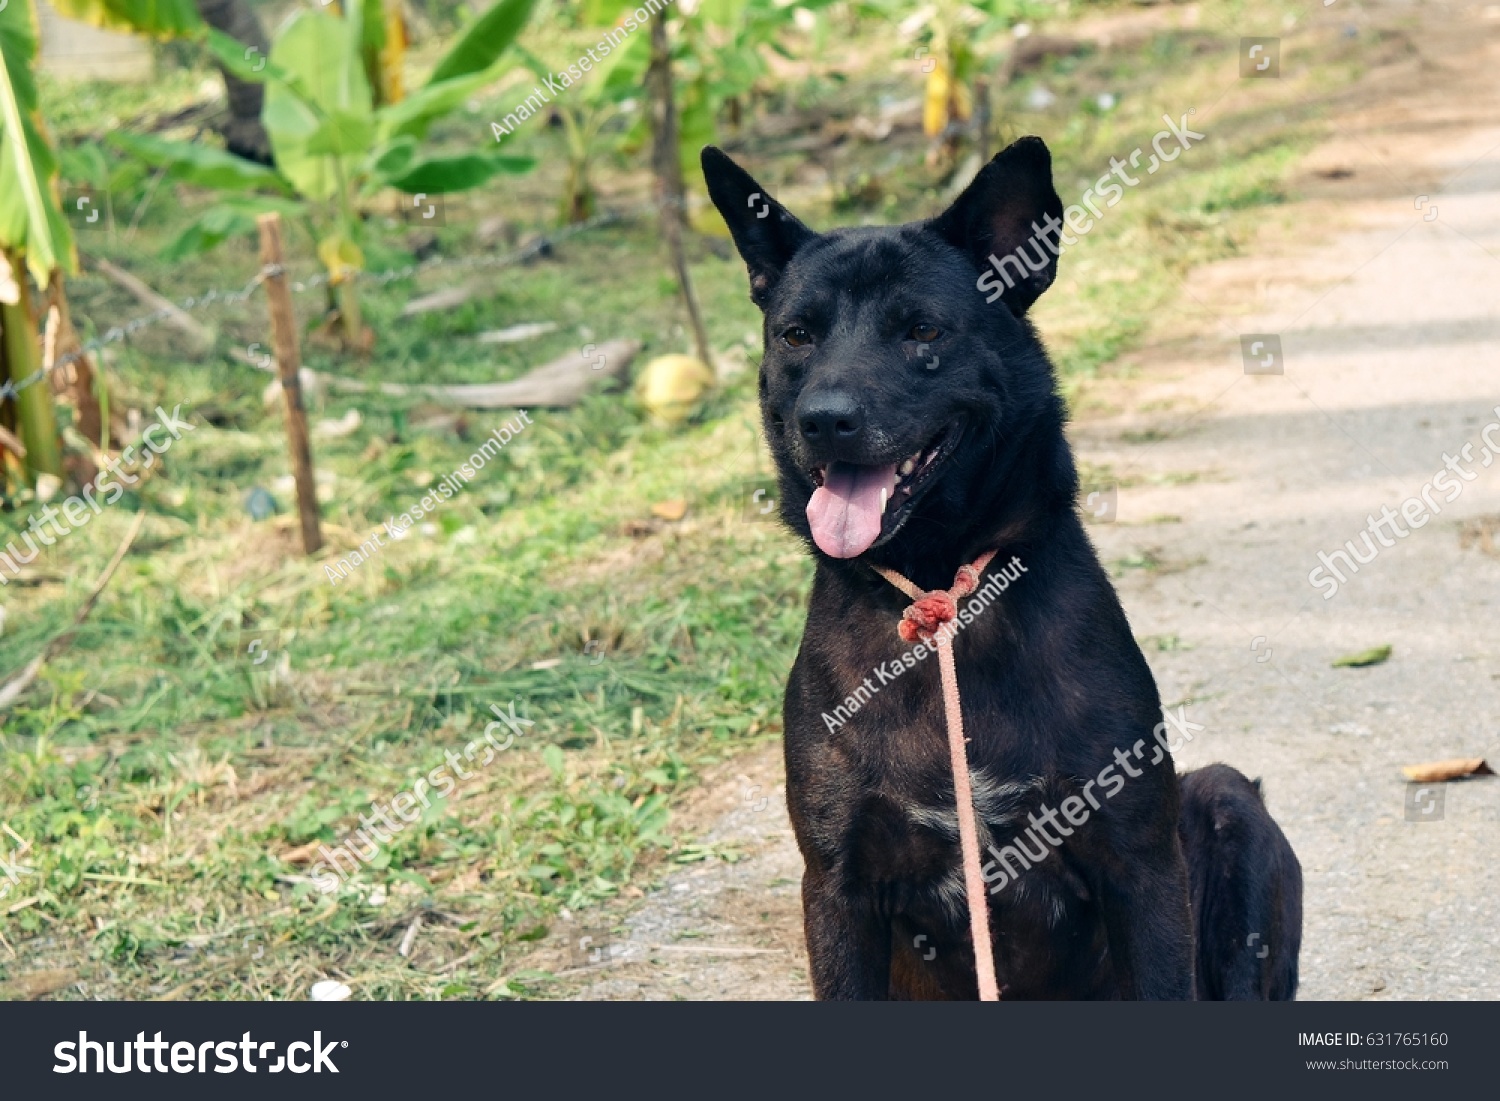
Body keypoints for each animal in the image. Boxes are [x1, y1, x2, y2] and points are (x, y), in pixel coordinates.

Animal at [702, 135, 1302, 1002]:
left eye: (922, 329)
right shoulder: (837, 889)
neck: (945, 595)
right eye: (796, 336)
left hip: (1226, 801)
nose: (824, 419)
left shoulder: (1140, 868)